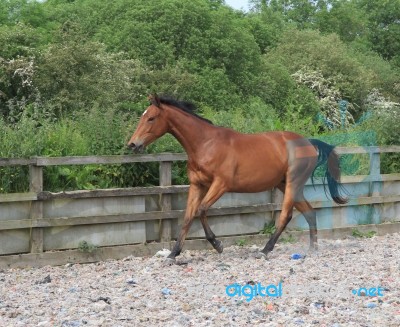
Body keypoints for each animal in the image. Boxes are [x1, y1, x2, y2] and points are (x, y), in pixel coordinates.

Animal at [129, 95, 346, 264]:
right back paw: (312, 250)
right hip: (286, 185)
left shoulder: (220, 185)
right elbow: (188, 217)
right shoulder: (197, 185)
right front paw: (173, 254)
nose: (133, 144)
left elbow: (201, 210)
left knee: (286, 215)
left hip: (293, 183)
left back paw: (265, 250)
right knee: (309, 212)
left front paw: (218, 245)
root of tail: (307, 142)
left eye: (151, 118)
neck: (205, 144)